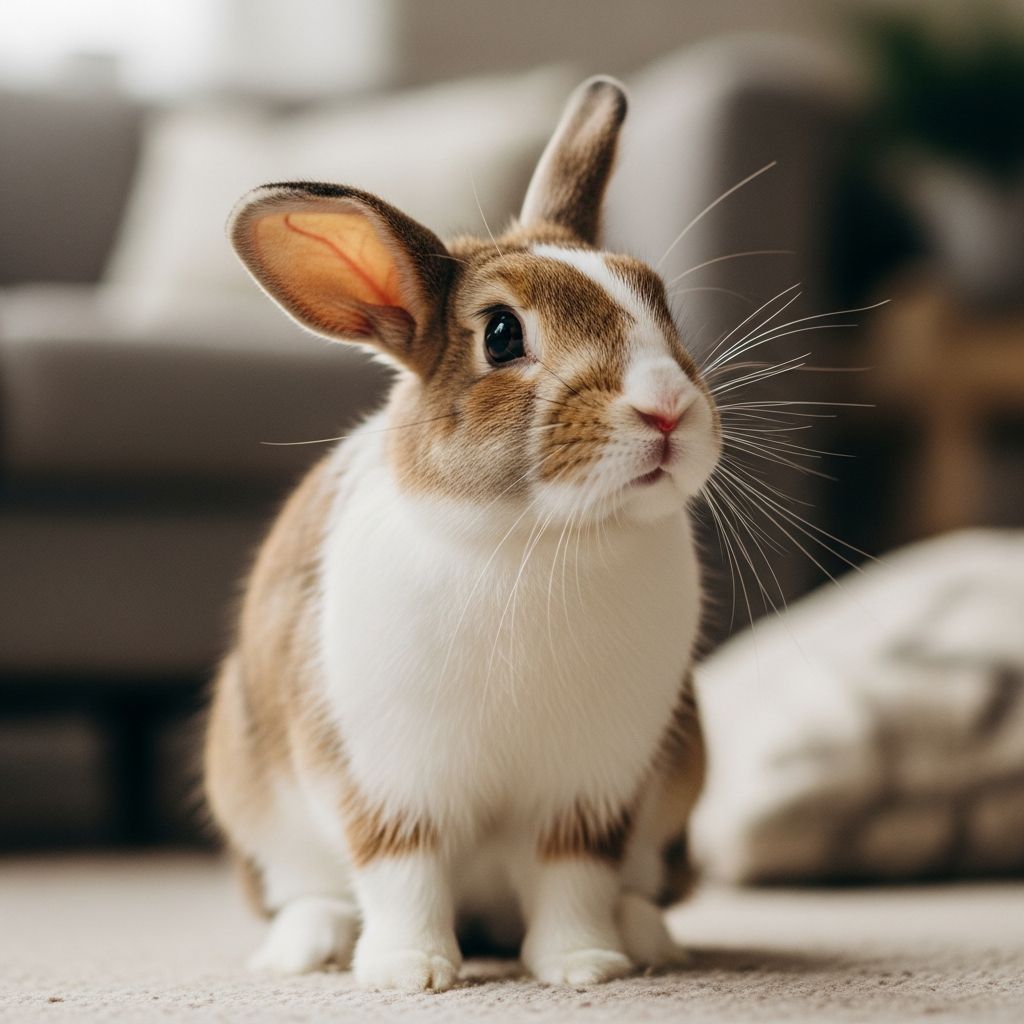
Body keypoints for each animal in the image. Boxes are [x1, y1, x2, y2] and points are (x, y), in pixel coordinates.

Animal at [204, 75, 720, 992]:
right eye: (503, 334)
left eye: (657, 298)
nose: (667, 409)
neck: (539, 536)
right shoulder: (391, 785)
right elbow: (401, 872)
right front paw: (410, 973)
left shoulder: (587, 791)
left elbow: (573, 876)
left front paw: (584, 966)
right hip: (254, 793)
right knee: (310, 891)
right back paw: (307, 950)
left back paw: (646, 938)